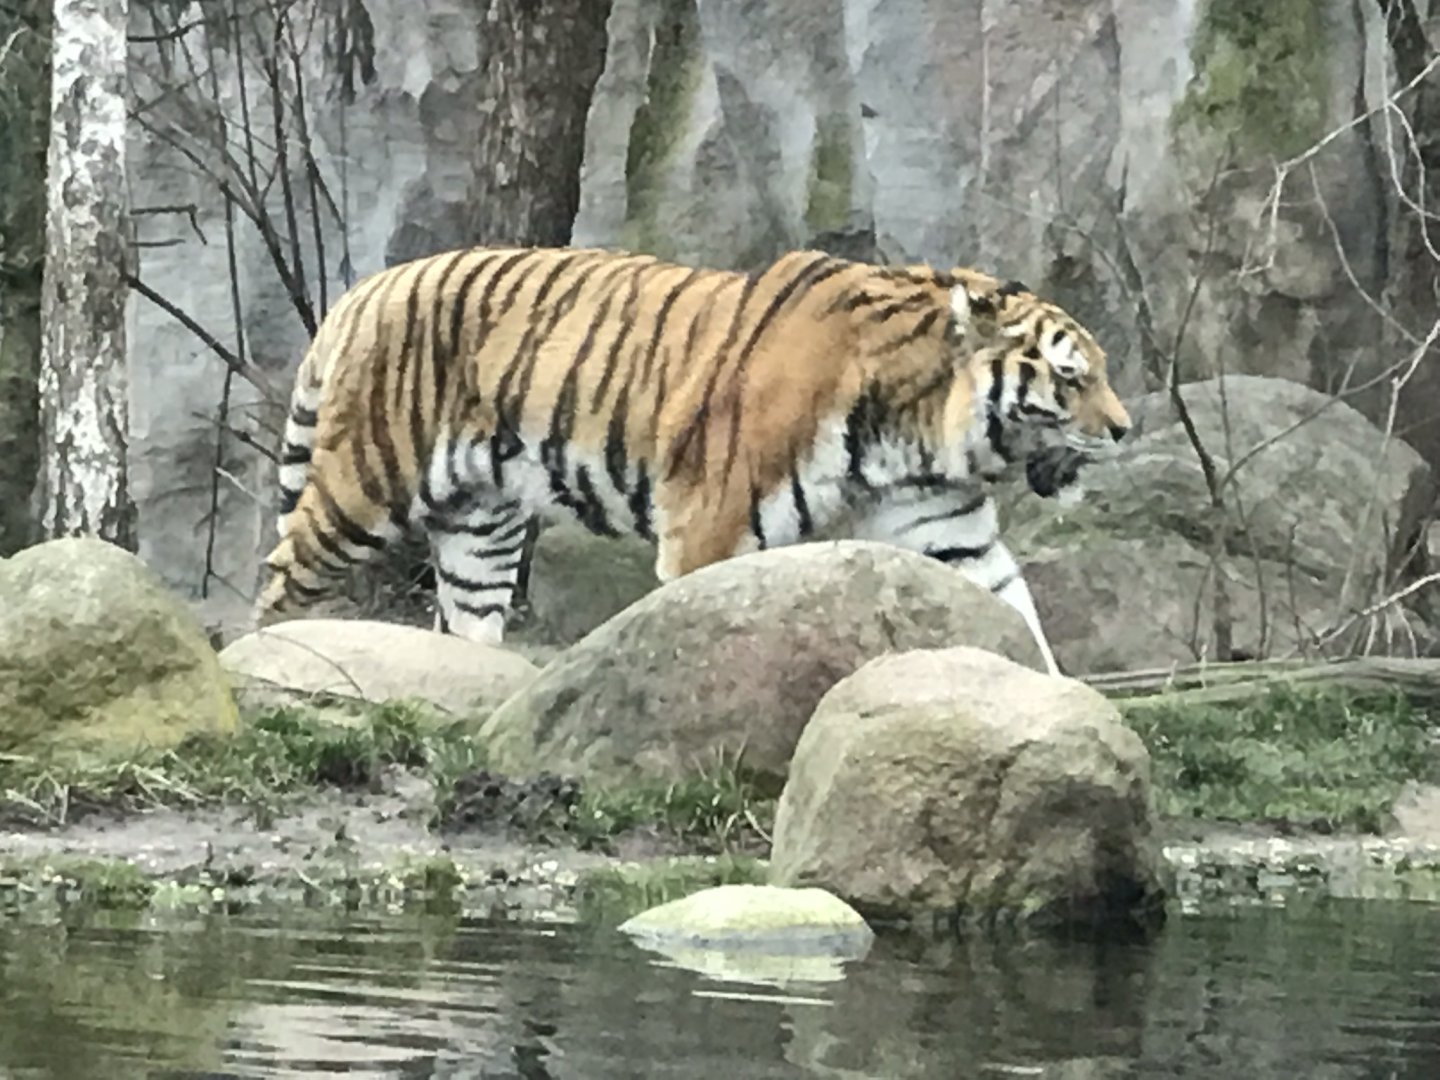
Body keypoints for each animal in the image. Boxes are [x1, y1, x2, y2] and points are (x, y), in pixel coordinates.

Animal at [252, 245, 1131, 675]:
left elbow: (1016, 618)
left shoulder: (949, 530)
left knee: (467, 620)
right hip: (362, 485)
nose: (1125, 429)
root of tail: (365, 290)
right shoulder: (710, 522)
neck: (917, 427)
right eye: (1071, 376)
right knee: (279, 585)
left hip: (480, 528)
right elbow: (704, 625)